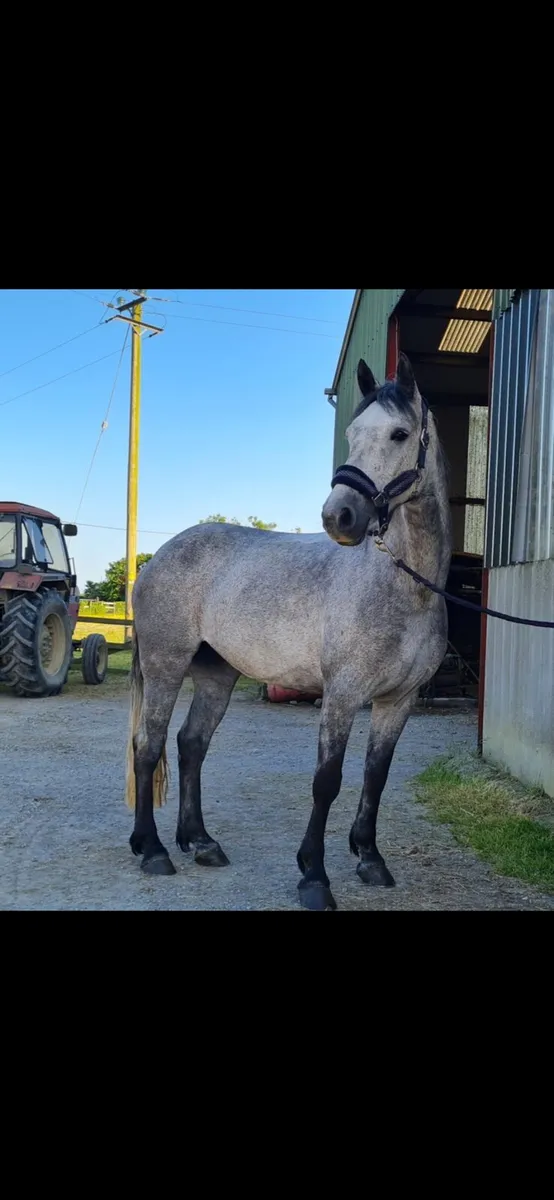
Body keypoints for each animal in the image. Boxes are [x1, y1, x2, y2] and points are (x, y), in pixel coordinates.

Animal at [125, 352, 452, 910]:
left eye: (400, 434)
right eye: (353, 433)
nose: (338, 516)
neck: (405, 589)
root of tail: (158, 559)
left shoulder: (398, 701)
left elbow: (376, 775)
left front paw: (370, 859)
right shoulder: (342, 695)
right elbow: (327, 781)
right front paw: (313, 877)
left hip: (216, 675)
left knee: (191, 744)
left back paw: (201, 842)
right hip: (165, 666)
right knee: (149, 745)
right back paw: (152, 850)